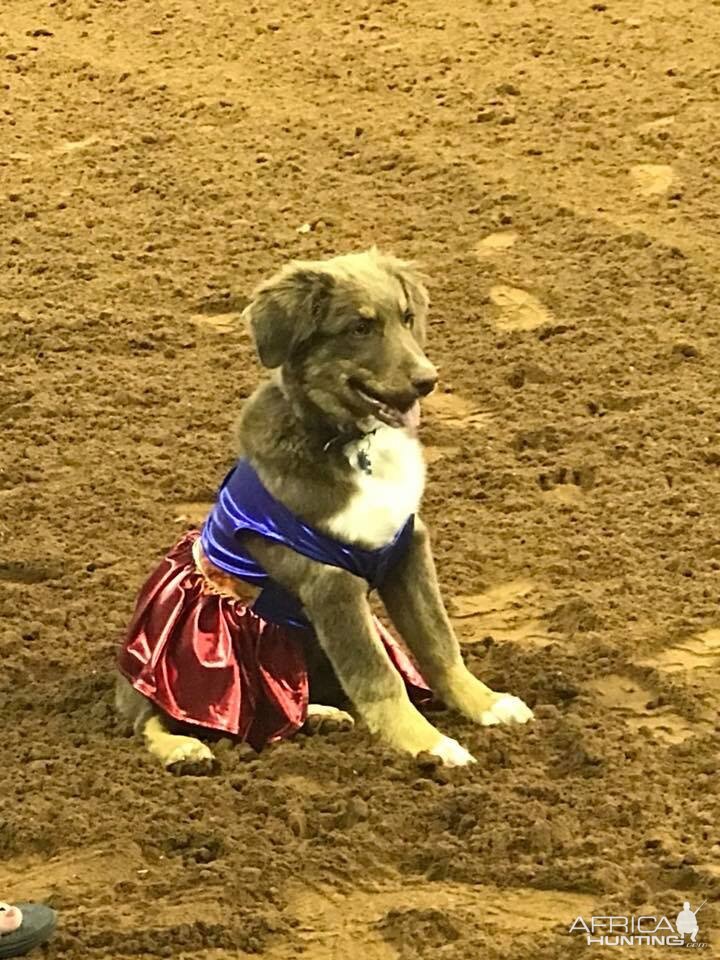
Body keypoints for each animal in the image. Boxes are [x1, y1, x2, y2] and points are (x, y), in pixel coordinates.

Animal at [116, 249, 536, 772]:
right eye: (359, 327)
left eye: (407, 318)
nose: (428, 381)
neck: (350, 443)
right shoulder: (331, 583)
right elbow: (378, 675)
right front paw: (431, 745)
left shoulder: (408, 549)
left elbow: (438, 643)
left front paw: (487, 703)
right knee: (147, 720)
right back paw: (184, 748)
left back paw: (320, 714)